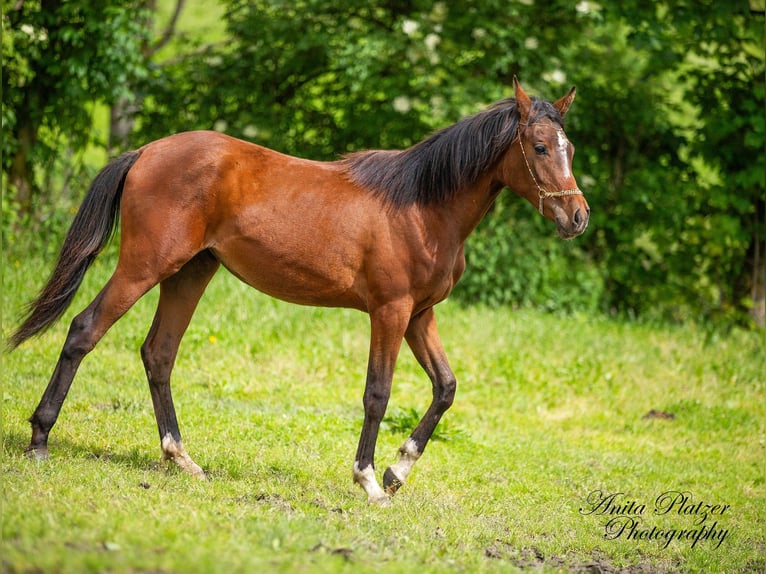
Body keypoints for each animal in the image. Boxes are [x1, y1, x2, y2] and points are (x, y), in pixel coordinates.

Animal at [9, 80, 592, 504]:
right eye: (540, 146)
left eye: (570, 147)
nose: (577, 217)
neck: (422, 206)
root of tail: (146, 151)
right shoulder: (390, 312)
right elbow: (377, 394)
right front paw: (369, 481)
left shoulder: (419, 315)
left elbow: (445, 387)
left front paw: (397, 469)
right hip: (144, 266)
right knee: (84, 330)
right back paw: (40, 441)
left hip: (190, 273)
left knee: (158, 354)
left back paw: (182, 459)